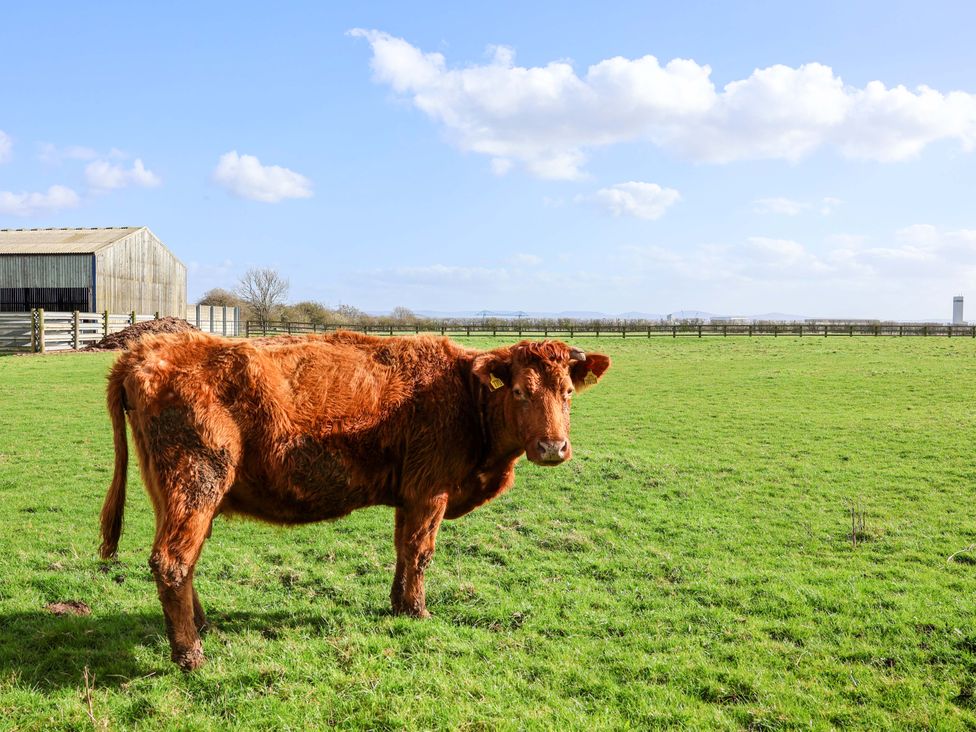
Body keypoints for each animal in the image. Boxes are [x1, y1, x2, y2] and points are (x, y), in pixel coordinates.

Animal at [99, 330, 610, 670]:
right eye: (521, 391)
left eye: (568, 392)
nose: (552, 448)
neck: (465, 394)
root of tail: (148, 351)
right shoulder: (431, 491)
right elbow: (420, 552)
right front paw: (419, 611)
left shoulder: (410, 495)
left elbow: (403, 550)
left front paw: (400, 605)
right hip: (196, 483)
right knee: (172, 561)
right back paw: (191, 655)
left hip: (175, 494)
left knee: (183, 563)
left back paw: (201, 627)